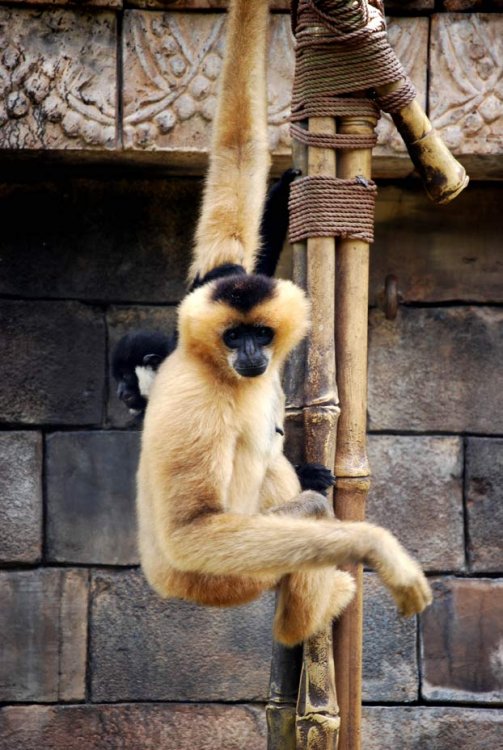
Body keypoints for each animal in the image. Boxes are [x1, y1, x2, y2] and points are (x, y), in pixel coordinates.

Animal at [136, 0, 432, 647]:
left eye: (261, 333)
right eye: (233, 337)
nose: (251, 355)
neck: (214, 366)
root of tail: (161, 580)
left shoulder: (217, 276)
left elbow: (237, 156)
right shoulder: (195, 399)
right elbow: (195, 527)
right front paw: (374, 545)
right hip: (217, 578)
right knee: (290, 510)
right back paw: (305, 620)